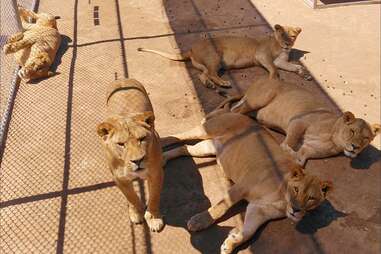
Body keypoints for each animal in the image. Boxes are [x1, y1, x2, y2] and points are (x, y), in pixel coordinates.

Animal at [96, 79, 163, 232]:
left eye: (142, 139)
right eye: (121, 144)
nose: (138, 161)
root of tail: (122, 79)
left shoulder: (156, 173)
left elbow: (155, 196)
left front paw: (154, 218)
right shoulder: (119, 178)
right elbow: (131, 197)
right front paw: (136, 213)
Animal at [138, 24, 310, 89]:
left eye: (292, 36)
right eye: (282, 34)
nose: (287, 44)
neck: (280, 47)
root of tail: (191, 49)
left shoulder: (281, 61)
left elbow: (293, 66)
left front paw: (304, 73)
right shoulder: (262, 55)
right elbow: (274, 68)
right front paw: (273, 79)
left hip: (209, 63)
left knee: (203, 74)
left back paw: (211, 85)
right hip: (215, 56)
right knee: (211, 73)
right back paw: (223, 83)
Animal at [160, 113, 330, 254]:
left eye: (311, 198)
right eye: (296, 189)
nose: (296, 210)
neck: (282, 200)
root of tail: (234, 112)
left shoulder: (258, 211)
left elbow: (248, 233)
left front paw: (230, 244)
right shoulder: (242, 186)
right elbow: (221, 207)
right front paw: (200, 221)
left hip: (207, 147)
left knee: (184, 148)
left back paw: (163, 159)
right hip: (206, 131)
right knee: (181, 136)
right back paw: (162, 140)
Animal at [209, 78, 378, 166]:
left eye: (365, 138)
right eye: (352, 131)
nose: (355, 147)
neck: (332, 139)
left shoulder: (309, 149)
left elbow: (300, 160)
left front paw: (291, 154)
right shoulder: (298, 121)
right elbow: (290, 141)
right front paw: (284, 148)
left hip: (250, 105)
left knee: (235, 107)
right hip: (260, 98)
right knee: (235, 112)